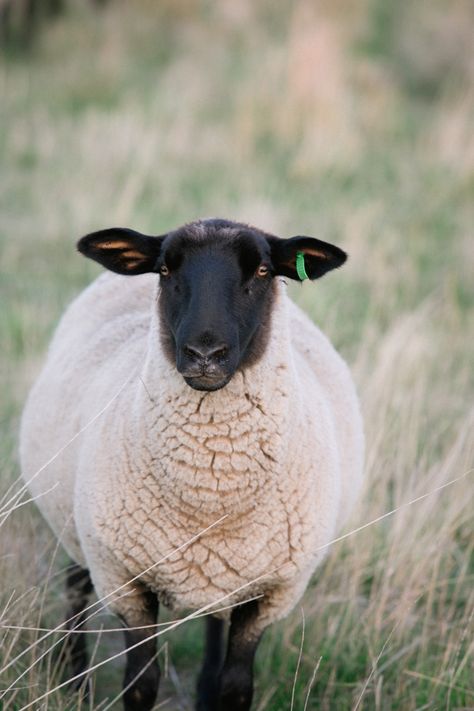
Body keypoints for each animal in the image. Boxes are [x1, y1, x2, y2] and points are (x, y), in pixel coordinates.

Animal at [20, 217, 364, 711]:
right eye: (164, 269)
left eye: (263, 270)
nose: (205, 355)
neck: (209, 494)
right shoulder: (125, 581)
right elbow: (140, 685)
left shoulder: (272, 591)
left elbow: (236, 688)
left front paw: (217, 691)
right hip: (74, 519)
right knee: (74, 585)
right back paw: (75, 685)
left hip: (225, 576)